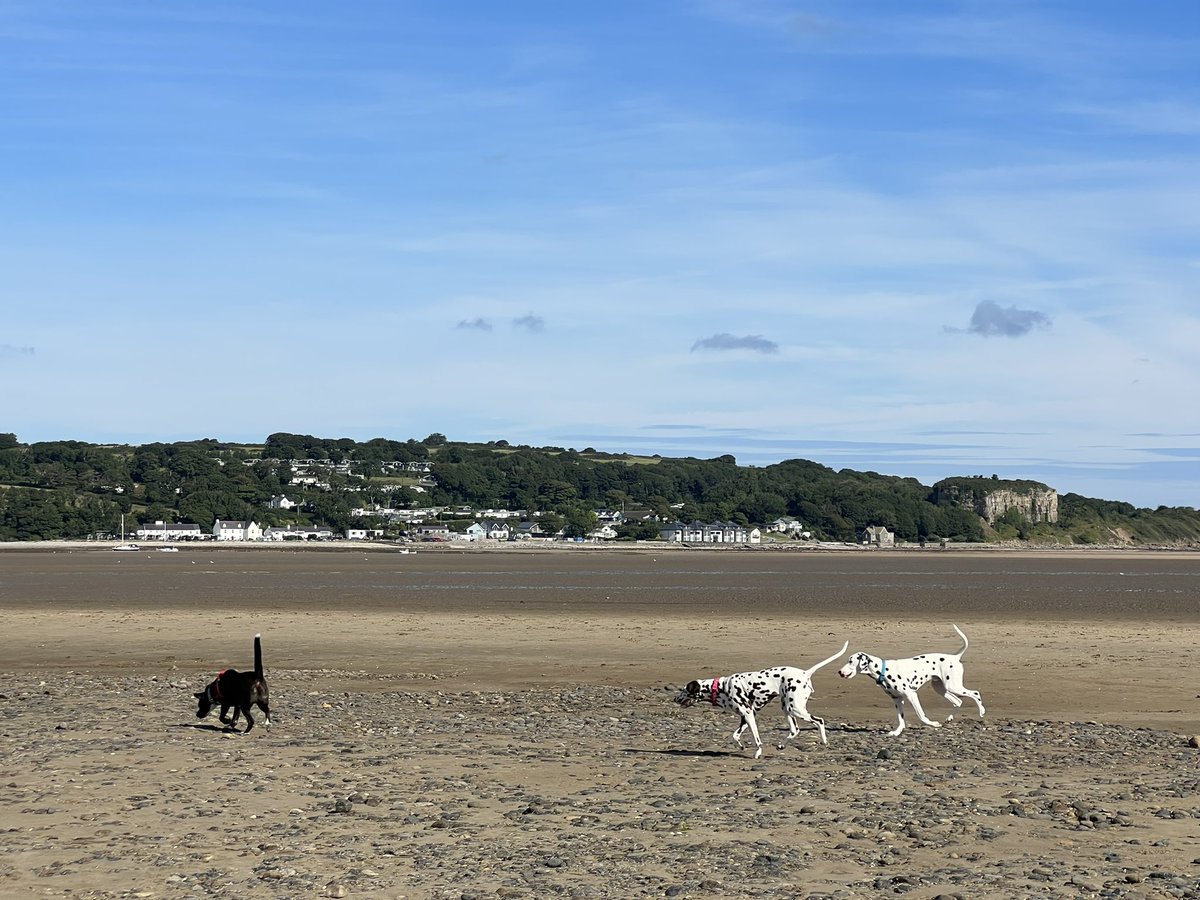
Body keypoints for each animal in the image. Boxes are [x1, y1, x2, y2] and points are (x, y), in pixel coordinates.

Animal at [672, 643, 849, 763]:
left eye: (684, 689)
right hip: (787, 708)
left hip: (796, 709)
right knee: (794, 730)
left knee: (819, 721)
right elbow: (735, 735)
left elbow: (757, 739)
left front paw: (757, 753)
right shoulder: (746, 716)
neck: (721, 687)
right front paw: (741, 746)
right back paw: (781, 746)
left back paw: (824, 741)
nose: (674, 699)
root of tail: (805, 673)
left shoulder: (749, 715)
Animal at [840, 624, 979, 734]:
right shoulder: (897, 699)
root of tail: (955, 657)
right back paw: (950, 718)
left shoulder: (912, 695)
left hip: (953, 686)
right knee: (958, 701)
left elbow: (921, 715)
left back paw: (981, 711)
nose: (840, 672)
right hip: (940, 689)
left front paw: (933, 724)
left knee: (975, 693)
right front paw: (896, 732)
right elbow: (901, 719)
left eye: (850, 661)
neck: (884, 670)